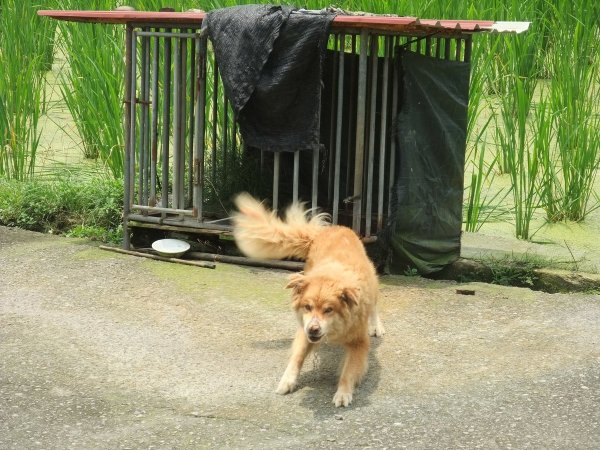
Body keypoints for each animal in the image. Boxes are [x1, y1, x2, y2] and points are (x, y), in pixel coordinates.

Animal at [232, 193, 382, 408]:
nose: (314, 329)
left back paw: (377, 326)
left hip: (374, 284)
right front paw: (287, 381)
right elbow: (297, 356)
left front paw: (343, 393)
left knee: (375, 306)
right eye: (308, 307)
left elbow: (349, 371)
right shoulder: (304, 330)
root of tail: (333, 228)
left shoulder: (359, 342)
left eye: (329, 310)